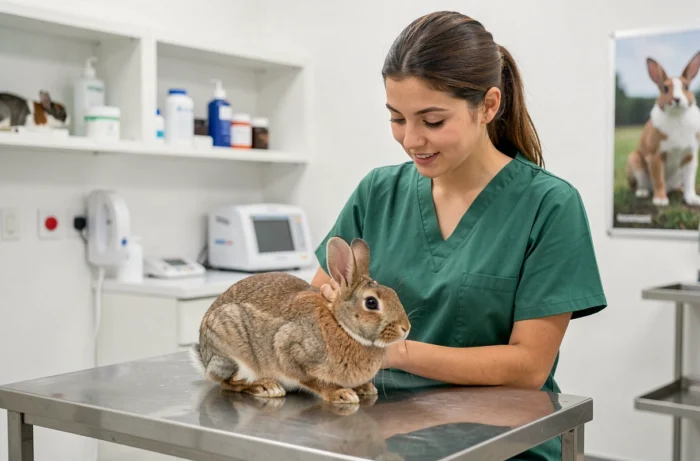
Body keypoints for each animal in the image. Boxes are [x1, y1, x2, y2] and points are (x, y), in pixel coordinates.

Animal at [190, 236, 411, 405]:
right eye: (371, 303)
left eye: (393, 293)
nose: (406, 328)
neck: (342, 325)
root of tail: (205, 357)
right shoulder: (290, 351)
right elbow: (313, 380)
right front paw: (341, 394)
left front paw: (365, 388)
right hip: (231, 347)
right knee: (227, 382)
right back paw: (266, 387)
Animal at [626, 51, 700, 206]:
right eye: (665, 89)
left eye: (686, 87)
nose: (676, 99)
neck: (677, 116)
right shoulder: (655, 156)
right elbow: (658, 179)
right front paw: (660, 200)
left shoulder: (690, 157)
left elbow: (689, 181)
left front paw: (693, 199)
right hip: (635, 160)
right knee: (642, 185)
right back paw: (642, 193)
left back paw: (678, 190)